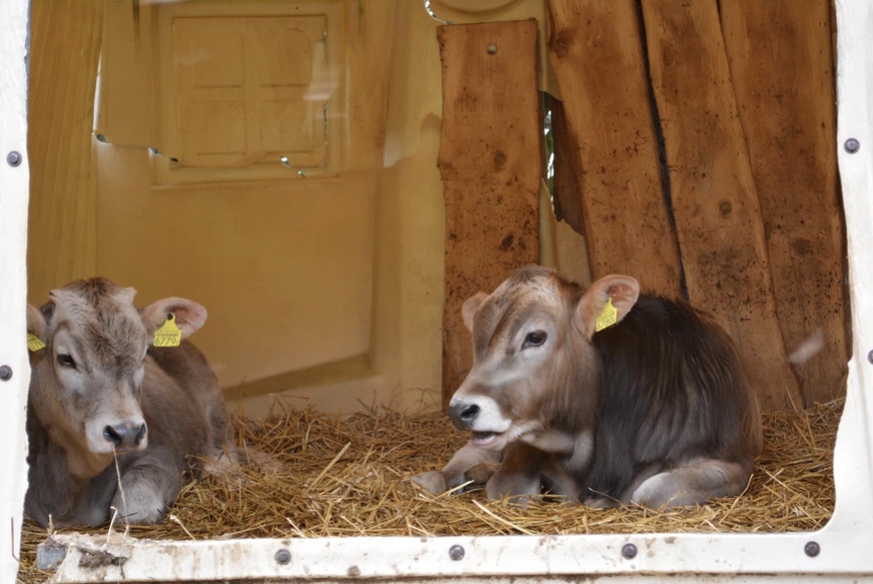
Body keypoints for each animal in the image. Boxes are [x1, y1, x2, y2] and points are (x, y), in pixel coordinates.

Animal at [416, 266, 756, 506]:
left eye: (535, 337)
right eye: (477, 343)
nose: (460, 409)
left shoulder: (737, 465)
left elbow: (652, 493)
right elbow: (507, 486)